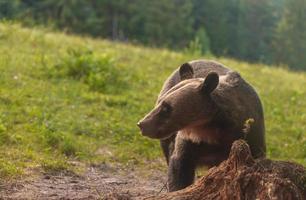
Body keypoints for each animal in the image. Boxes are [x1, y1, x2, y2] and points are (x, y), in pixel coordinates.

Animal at [137, 60, 266, 191]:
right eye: (160, 103)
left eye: (166, 108)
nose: (142, 124)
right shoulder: (189, 142)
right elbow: (179, 167)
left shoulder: (250, 136)